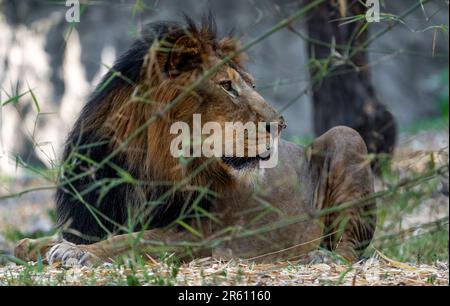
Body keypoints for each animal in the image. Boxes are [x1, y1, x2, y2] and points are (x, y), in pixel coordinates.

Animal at [13, 17, 376, 266]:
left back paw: (323, 258)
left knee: (350, 245)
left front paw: (75, 252)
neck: (145, 166)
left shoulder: (204, 235)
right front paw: (40, 245)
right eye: (227, 86)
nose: (281, 124)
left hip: (347, 137)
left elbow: (134, 239)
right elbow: (28, 244)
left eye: (251, 85)